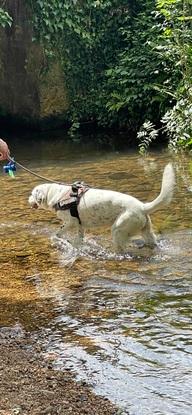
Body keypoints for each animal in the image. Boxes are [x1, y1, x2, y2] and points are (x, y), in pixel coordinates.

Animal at [28, 164, 176, 252]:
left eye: (32, 194)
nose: (27, 200)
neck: (55, 194)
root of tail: (143, 206)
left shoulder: (71, 222)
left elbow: (57, 234)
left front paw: (60, 240)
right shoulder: (80, 225)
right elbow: (79, 239)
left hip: (118, 229)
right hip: (147, 231)